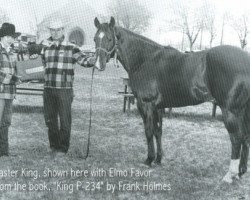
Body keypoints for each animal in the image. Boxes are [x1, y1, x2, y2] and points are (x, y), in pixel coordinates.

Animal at [93, 16, 250, 183]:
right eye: (95, 38)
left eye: (109, 38)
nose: (97, 65)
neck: (145, 60)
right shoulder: (158, 107)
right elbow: (158, 131)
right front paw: (158, 159)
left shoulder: (146, 104)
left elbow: (148, 131)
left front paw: (148, 160)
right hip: (243, 110)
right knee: (246, 137)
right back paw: (241, 171)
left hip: (231, 111)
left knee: (236, 139)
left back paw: (230, 175)